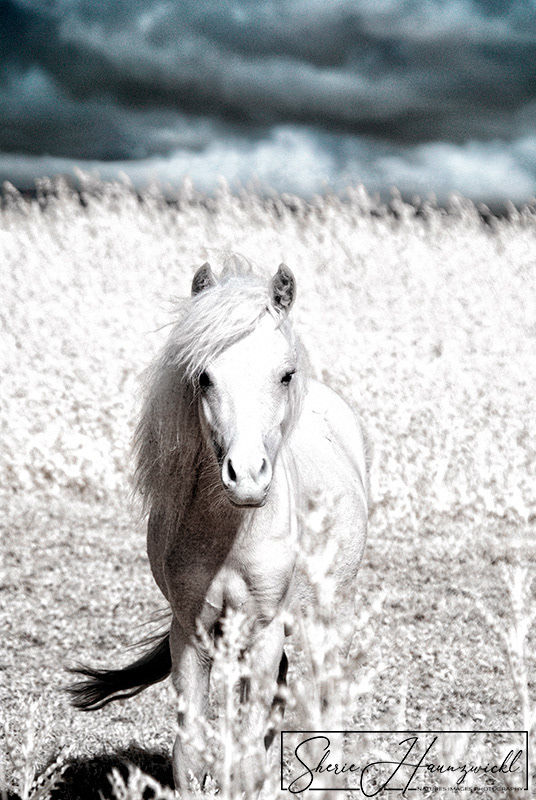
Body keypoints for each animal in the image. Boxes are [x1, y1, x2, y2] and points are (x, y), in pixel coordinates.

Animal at [68, 262, 368, 794]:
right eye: (204, 377)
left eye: (285, 374)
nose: (246, 477)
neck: (230, 536)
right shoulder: (192, 632)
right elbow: (192, 752)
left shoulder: (266, 631)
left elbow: (245, 757)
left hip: (325, 617)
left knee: (325, 705)